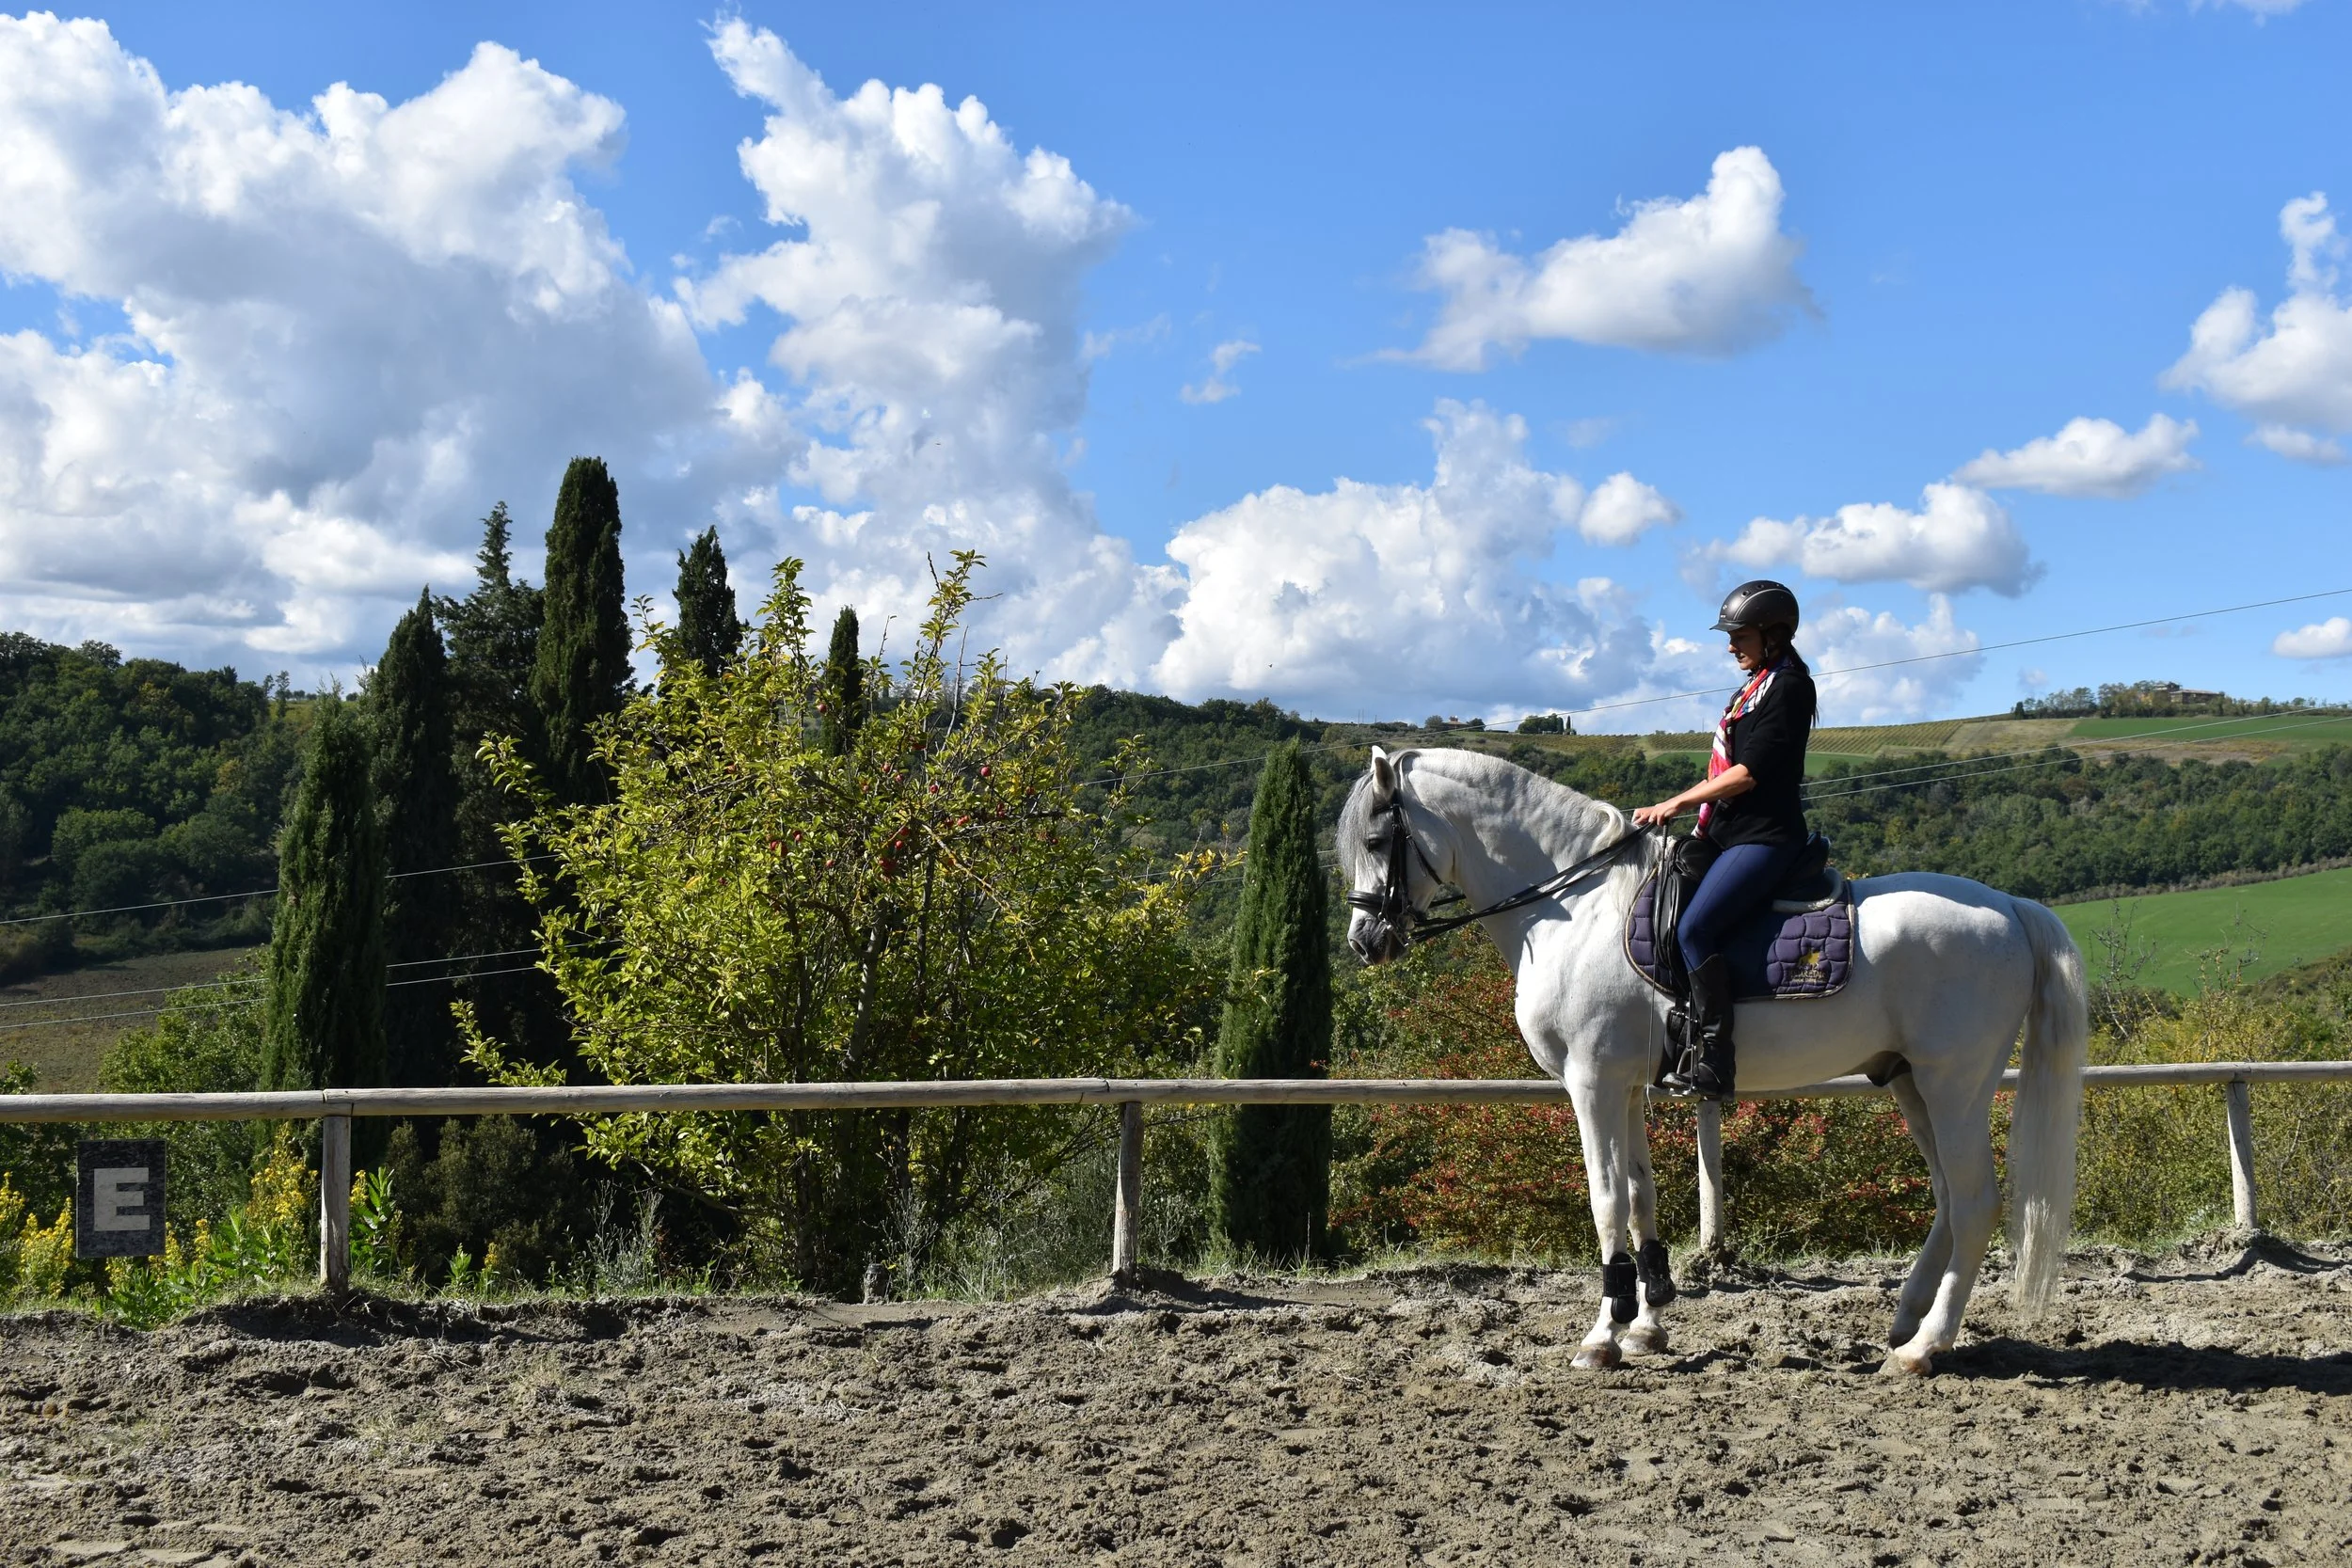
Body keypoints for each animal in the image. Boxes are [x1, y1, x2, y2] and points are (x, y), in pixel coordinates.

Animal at [1337, 745, 2087, 1376]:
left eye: (1376, 841)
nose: (1364, 942)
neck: (1576, 905)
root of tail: (2010, 906)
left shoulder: (1591, 1083)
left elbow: (1606, 1200)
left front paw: (1602, 1337)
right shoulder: (1625, 1084)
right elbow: (1641, 1194)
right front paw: (1647, 1322)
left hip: (1954, 1086)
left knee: (1977, 1203)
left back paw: (1925, 1347)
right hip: (1911, 1084)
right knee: (1948, 1200)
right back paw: (1905, 1323)